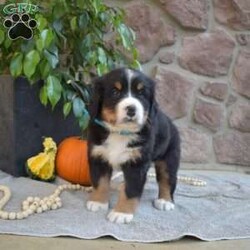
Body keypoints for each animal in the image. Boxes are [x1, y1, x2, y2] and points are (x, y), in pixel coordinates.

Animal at [86, 67, 180, 224]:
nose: (131, 109)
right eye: (115, 92)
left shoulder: (137, 164)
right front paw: (98, 202)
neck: (120, 132)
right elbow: (100, 182)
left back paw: (165, 201)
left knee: (168, 179)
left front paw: (121, 213)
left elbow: (131, 189)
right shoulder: (98, 156)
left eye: (141, 94)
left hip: (169, 157)